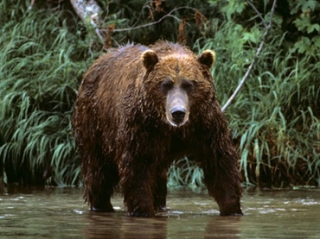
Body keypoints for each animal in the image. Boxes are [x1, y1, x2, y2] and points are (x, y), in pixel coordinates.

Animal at [72, 40, 242, 217]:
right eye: (165, 84)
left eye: (189, 84)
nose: (178, 113)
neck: (170, 128)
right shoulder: (141, 127)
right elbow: (137, 169)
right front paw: (143, 210)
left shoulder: (204, 125)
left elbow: (220, 162)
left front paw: (231, 207)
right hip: (95, 125)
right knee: (98, 172)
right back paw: (101, 205)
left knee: (158, 179)